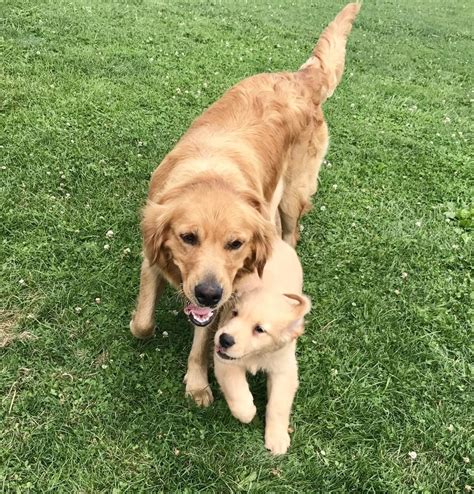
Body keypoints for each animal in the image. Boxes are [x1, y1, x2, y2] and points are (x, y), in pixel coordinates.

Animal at [130, 2, 360, 406]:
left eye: (235, 244)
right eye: (188, 237)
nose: (208, 292)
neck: (211, 176)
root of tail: (299, 79)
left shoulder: (226, 290)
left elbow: (202, 339)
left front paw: (197, 383)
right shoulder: (152, 252)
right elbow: (143, 324)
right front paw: (140, 323)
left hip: (293, 192)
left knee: (291, 231)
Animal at [215, 239, 312, 456]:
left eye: (259, 329)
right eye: (234, 313)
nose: (224, 340)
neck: (257, 355)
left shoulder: (285, 369)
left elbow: (278, 404)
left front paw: (277, 438)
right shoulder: (225, 362)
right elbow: (237, 390)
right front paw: (248, 412)